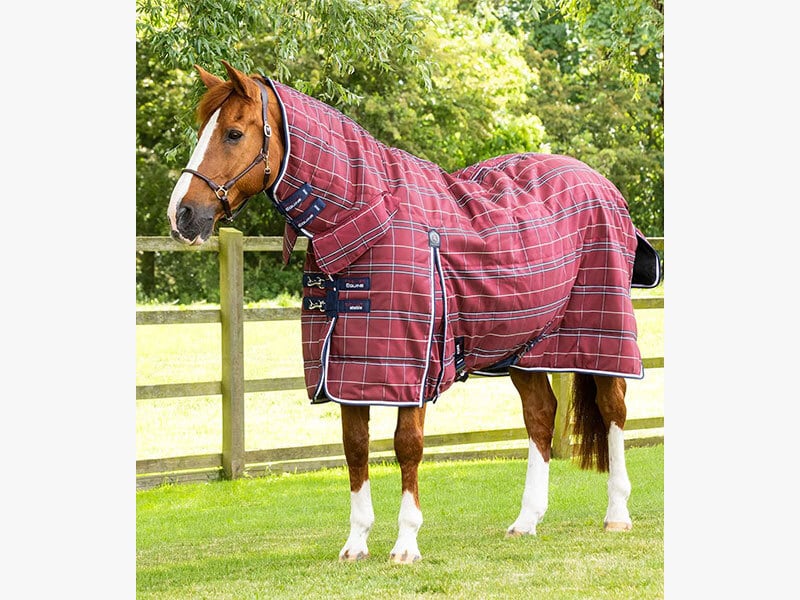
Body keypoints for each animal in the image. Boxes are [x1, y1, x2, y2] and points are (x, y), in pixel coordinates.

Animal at [167, 61, 661, 564]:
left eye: (233, 133)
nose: (181, 215)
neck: (369, 221)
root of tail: (603, 185)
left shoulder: (413, 366)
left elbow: (407, 447)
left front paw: (406, 543)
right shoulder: (349, 370)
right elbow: (355, 448)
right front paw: (356, 544)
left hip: (603, 334)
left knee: (614, 410)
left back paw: (617, 514)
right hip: (525, 348)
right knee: (541, 416)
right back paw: (526, 521)